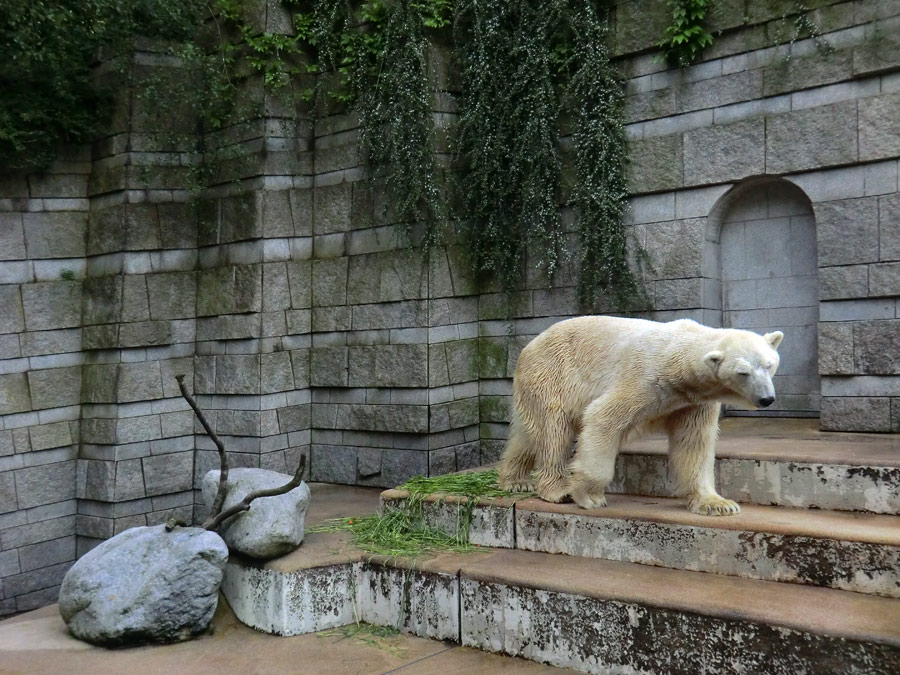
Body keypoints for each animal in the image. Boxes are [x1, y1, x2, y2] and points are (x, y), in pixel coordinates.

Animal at [496, 316, 784, 516]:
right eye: (743, 372)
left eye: (770, 364)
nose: (767, 399)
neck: (676, 360)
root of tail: (527, 347)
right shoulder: (643, 380)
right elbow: (602, 417)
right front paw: (589, 495)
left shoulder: (693, 402)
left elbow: (695, 445)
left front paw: (718, 504)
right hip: (552, 375)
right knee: (554, 430)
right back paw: (557, 490)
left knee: (527, 435)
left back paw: (515, 481)